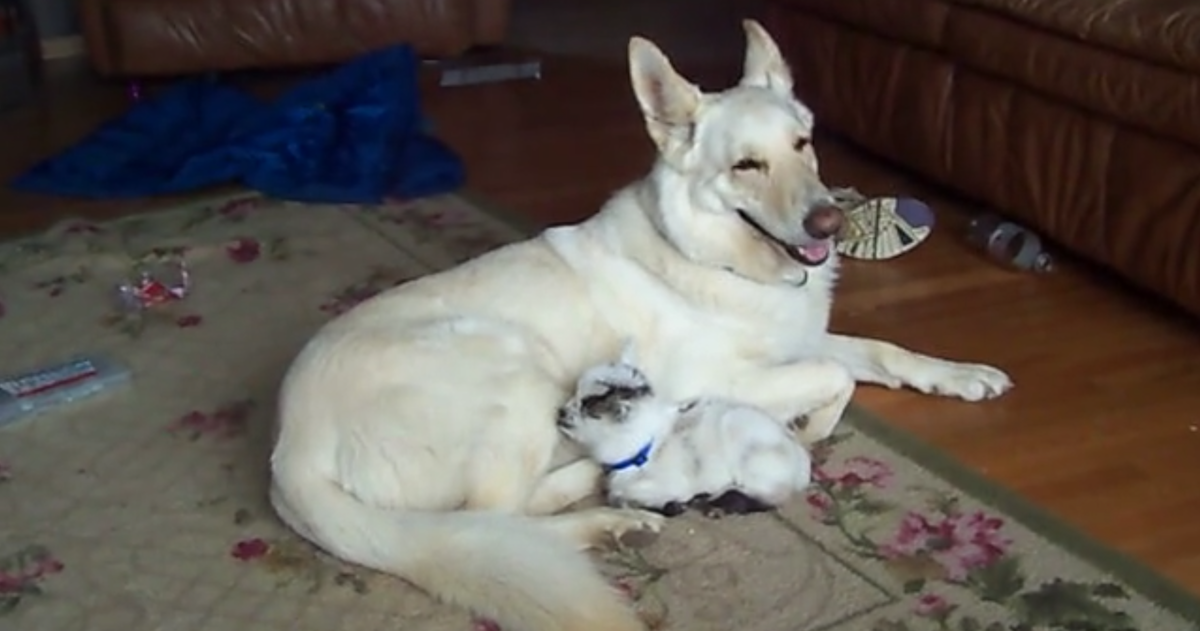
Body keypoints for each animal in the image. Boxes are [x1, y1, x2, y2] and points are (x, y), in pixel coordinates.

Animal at [272, 18, 1012, 631]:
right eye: (746, 165)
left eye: (803, 144)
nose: (830, 223)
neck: (712, 255)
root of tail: (289, 452)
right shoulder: (719, 378)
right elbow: (835, 375)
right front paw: (815, 425)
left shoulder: (796, 341)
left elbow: (878, 351)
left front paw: (961, 375)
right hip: (514, 372)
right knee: (494, 521)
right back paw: (602, 508)